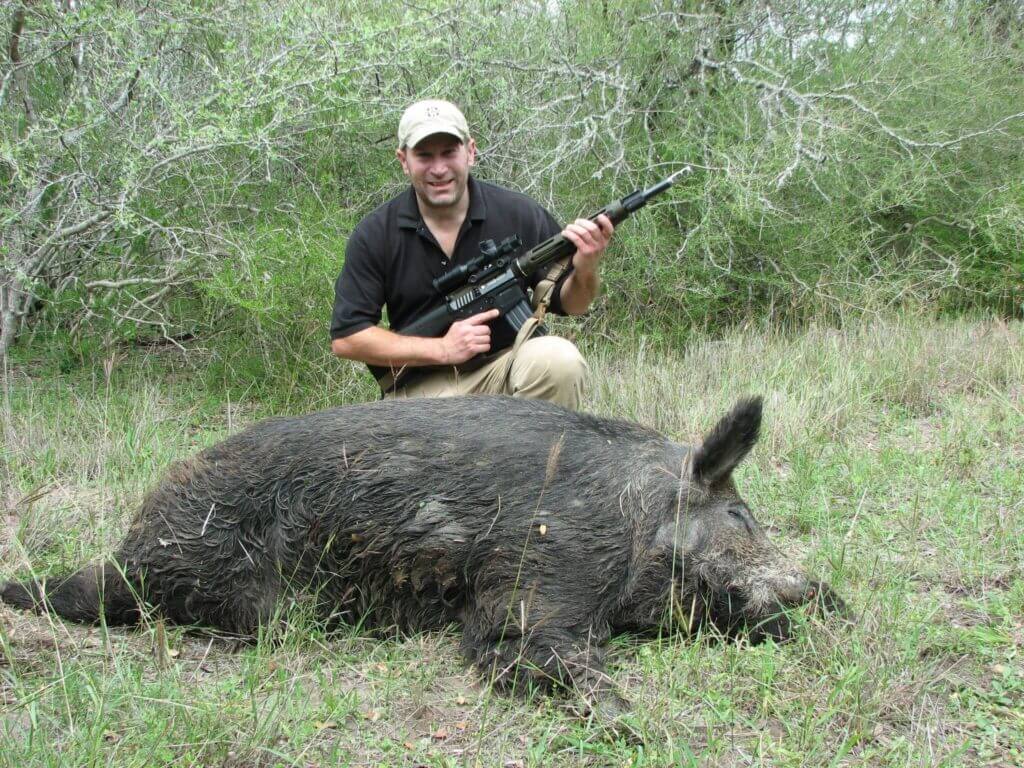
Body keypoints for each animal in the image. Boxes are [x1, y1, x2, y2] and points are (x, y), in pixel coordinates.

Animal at [2, 395, 845, 714]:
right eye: (739, 511)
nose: (826, 594)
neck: (629, 515)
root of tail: (127, 550)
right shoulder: (537, 577)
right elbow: (529, 648)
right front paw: (626, 723)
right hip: (247, 597)